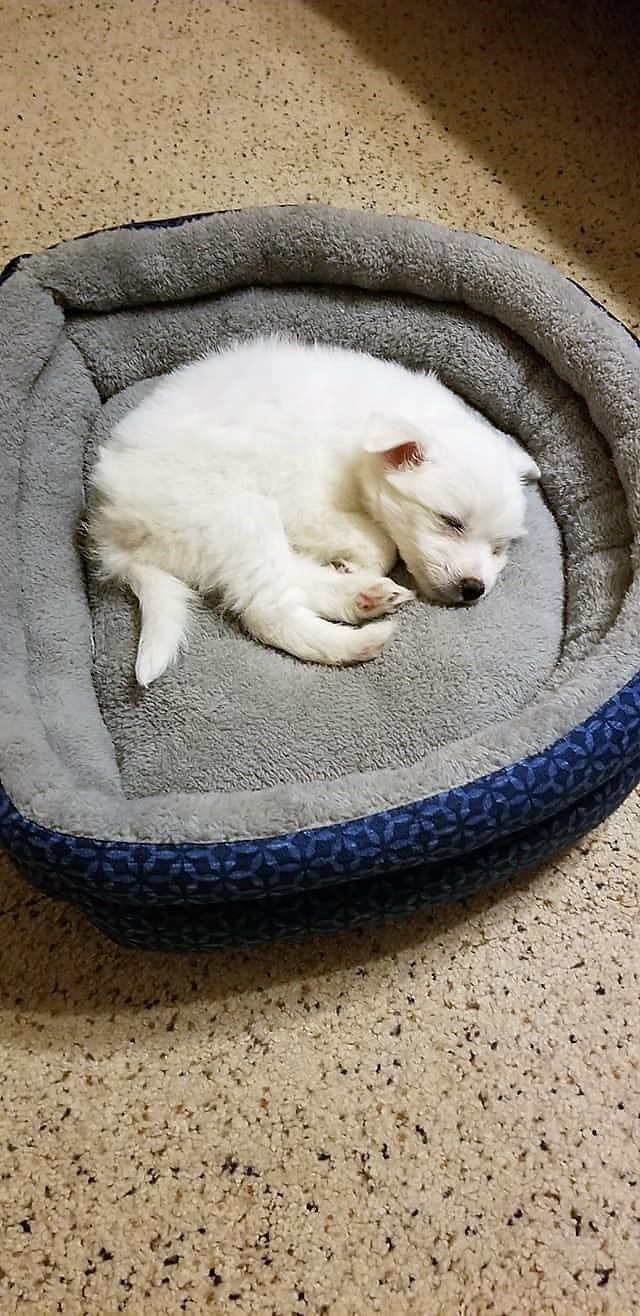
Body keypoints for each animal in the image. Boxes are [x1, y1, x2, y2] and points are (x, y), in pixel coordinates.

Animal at [88, 331, 539, 689]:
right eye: (449, 522)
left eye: (499, 548)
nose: (474, 589)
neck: (361, 437)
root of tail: (111, 534)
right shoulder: (305, 506)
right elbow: (379, 542)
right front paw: (361, 562)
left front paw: (355, 571)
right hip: (236, 514)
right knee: (268, 611)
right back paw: (356, 636)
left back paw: (360, 596)